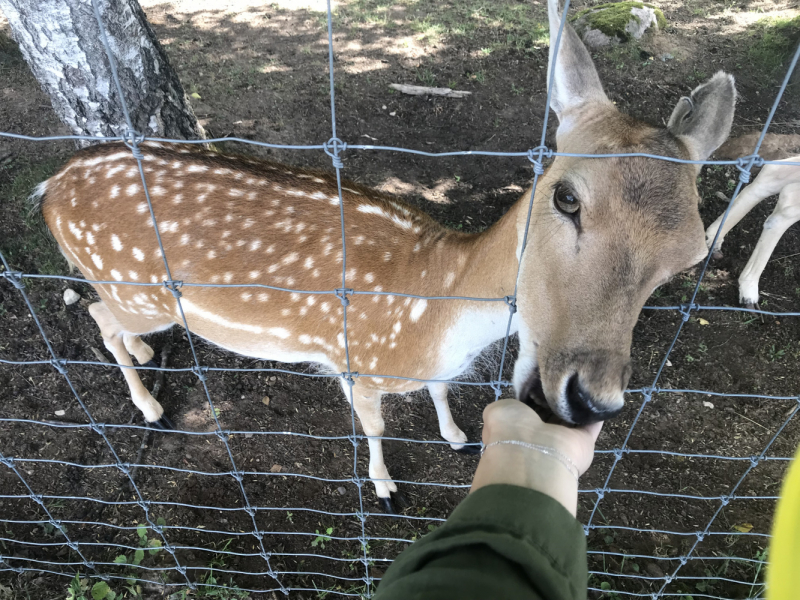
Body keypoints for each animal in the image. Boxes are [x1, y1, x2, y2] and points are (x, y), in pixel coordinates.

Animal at [37, 0, 736, 510]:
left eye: (691, 254)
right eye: (567, 197)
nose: (592, 399)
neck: (435, 310)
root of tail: (49, 187)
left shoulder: (430, 367)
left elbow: (441, 391)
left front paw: (457, 437)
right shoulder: (359, 364)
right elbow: (373, 428)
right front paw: (383, 485)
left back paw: (146, 356)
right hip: (138, 288)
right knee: (97, 316)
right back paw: (151, 406)